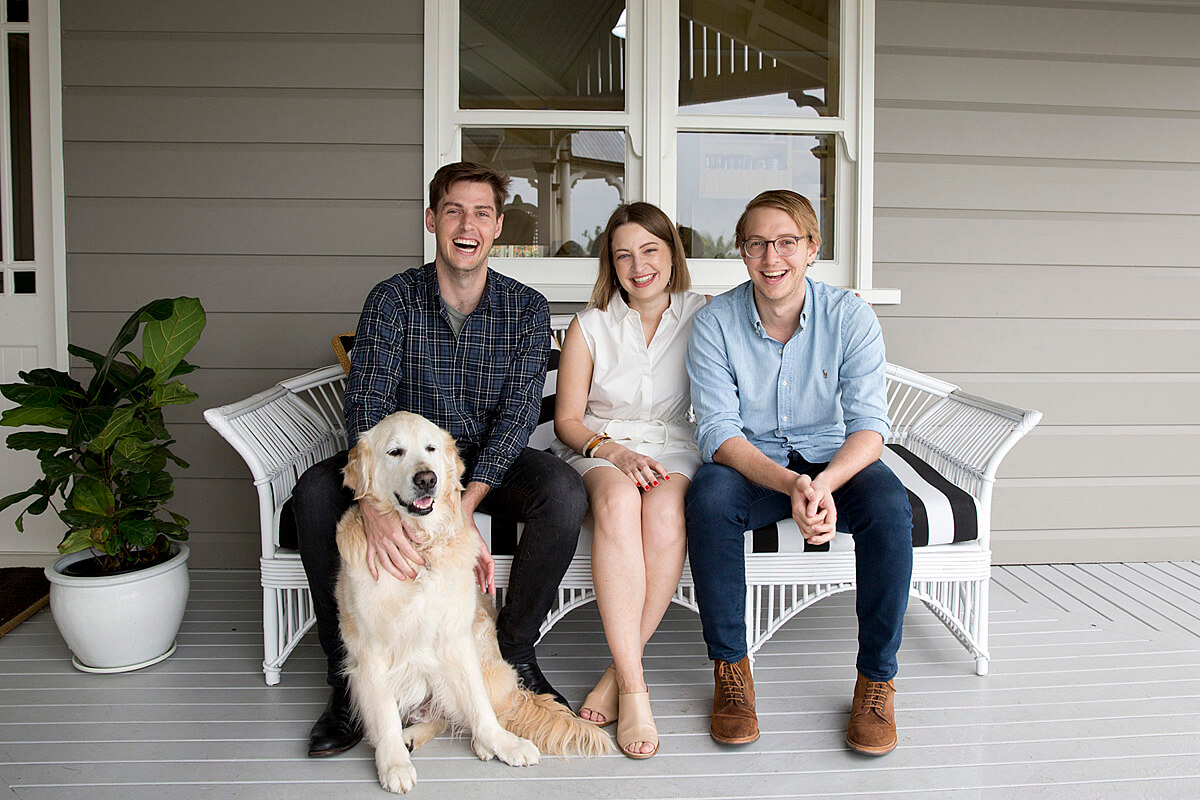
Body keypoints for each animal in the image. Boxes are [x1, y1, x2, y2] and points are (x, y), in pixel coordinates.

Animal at [338, 412, 614, 796]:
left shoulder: (456, 639)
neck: (421, 547)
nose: (427, 479)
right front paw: (394, 763)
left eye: (430, 448)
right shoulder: (370, 651)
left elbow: (479, 705)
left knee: (470, 711)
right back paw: (408, 739)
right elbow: (383, 715)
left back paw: (482, 742)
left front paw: (503, 743)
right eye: (394, 452)